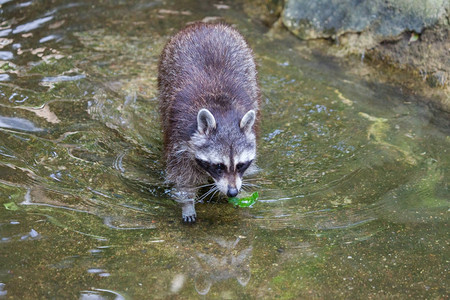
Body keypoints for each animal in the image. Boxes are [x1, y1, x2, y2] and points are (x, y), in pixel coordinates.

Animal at [159, 22, 260, 223]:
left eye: (240, 165)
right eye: (219, 166)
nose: (232, 192)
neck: (222, 112)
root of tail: (205, 25)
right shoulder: (179, 134)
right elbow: (181, 174)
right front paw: (187, 201)